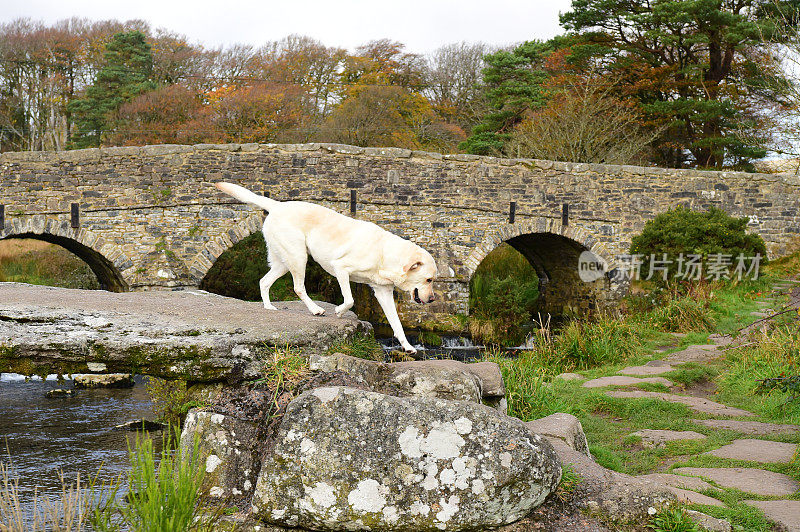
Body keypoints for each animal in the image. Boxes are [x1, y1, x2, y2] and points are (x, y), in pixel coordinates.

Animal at [214, 183, 438, 354]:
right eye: (429, 279)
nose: (432, 299)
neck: (385, 253)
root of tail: (278, 205)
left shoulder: (383, 292)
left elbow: (397, 323)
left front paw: (407, 346)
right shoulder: (341, 268)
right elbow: (349, 299)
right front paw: (338, 311)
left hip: (283, 263)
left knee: (264, 281)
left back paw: (269, 307)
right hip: (298, 257)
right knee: (298, 287)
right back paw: (315, 309)